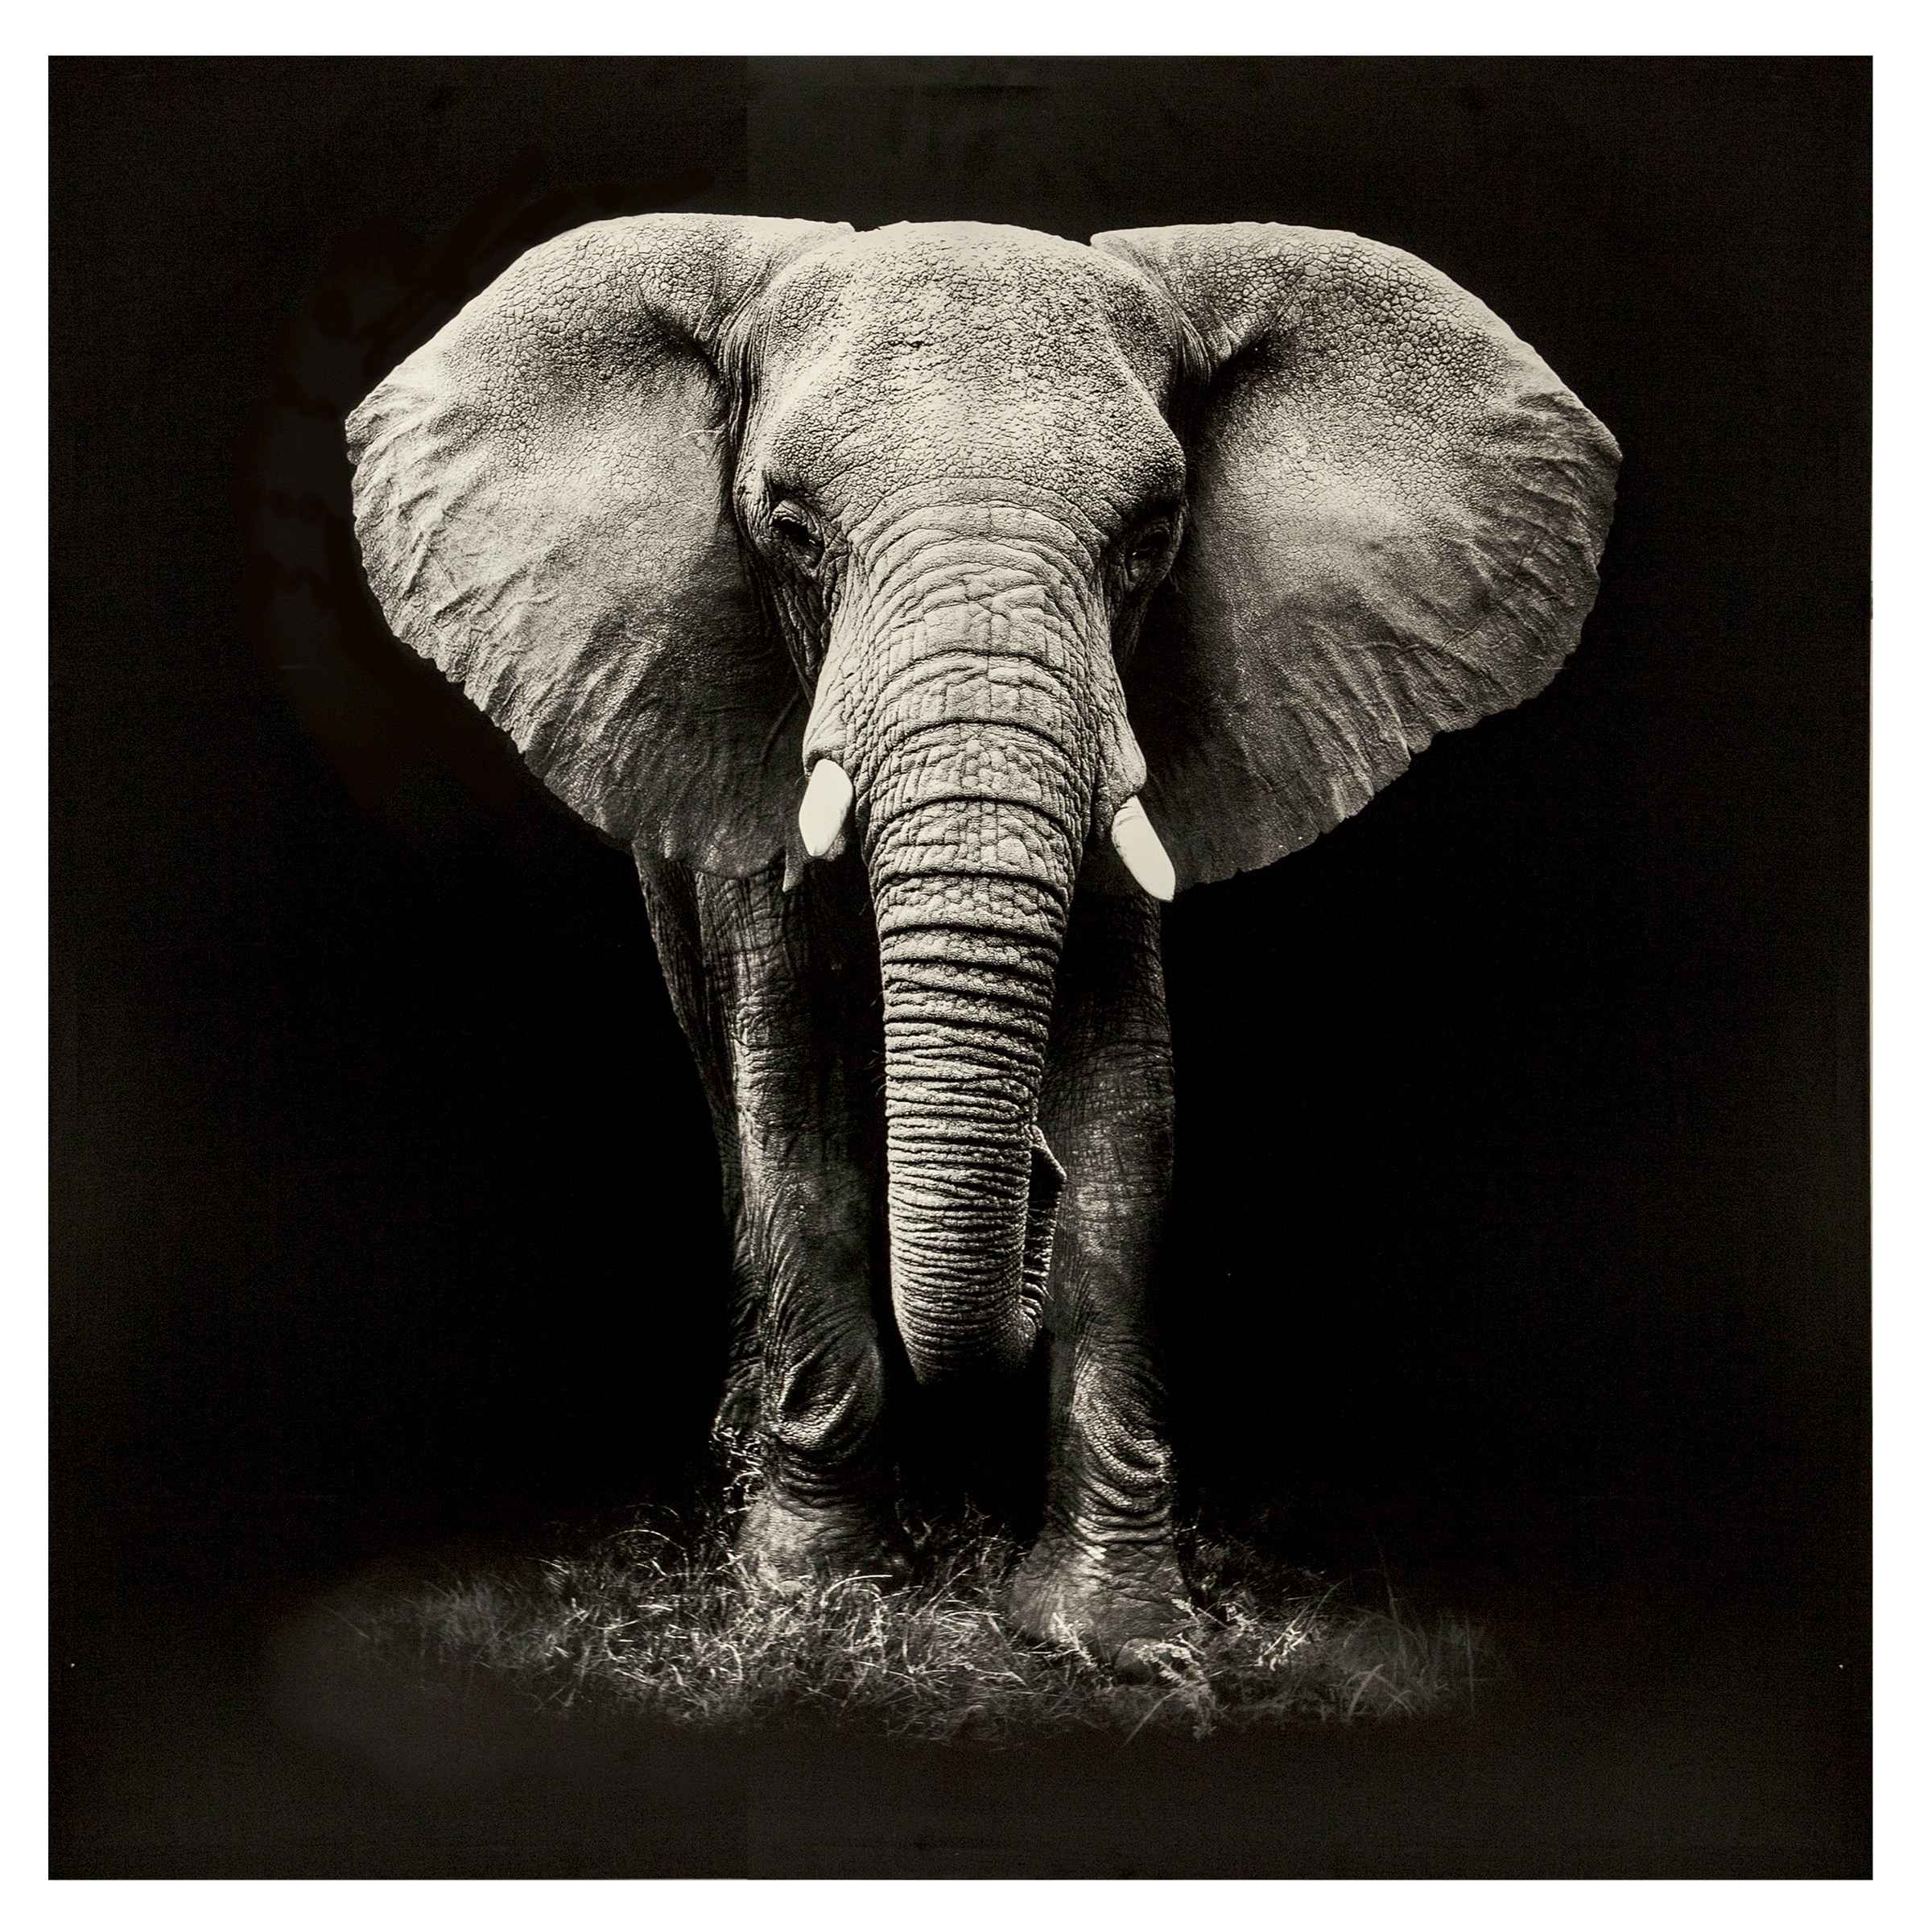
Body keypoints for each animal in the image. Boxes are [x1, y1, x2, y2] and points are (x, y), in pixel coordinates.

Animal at [345, 215, 1618, 1673]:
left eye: (1152, 537)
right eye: (790, 531)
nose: (1031, 1188)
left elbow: (1131, 1124)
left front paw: (1119, 1636)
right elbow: (798, 1117)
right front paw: (816, 1609)